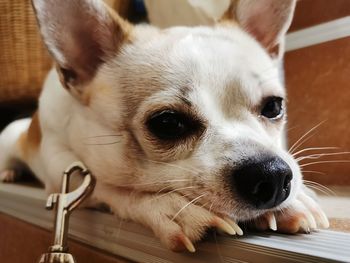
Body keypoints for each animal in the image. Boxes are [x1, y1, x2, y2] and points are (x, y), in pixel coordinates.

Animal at [0, 0, 328, 254]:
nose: (271, 174)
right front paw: (170, 206)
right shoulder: (60, 169)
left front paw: (295, 201)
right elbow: (110, 186)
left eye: (274, 107)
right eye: (168, 124)